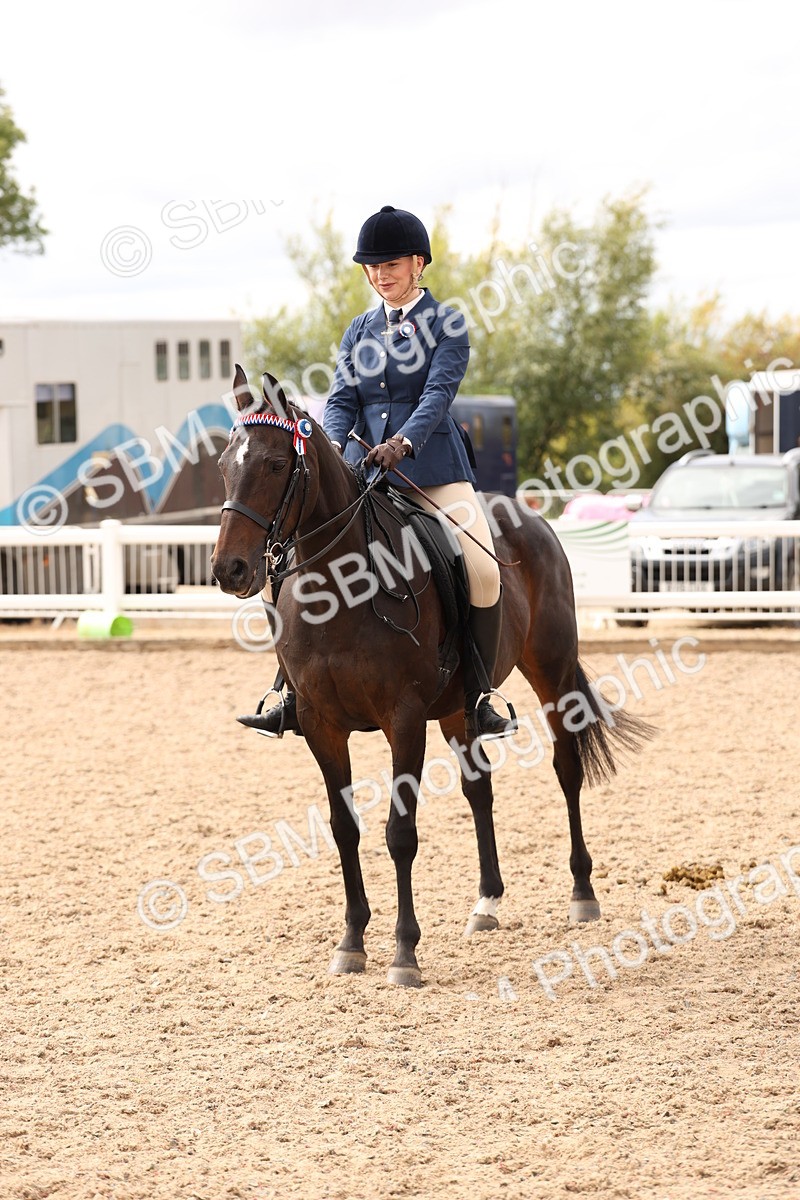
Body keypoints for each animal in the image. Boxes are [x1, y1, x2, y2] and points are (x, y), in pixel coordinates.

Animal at [211, 366, 653, 988]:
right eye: (224, 464)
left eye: (276, 465)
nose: (229, 570)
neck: (342, 586)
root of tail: (531, 515)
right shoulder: (322, 724)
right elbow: (344, 828)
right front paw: (351, 943)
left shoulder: (404, 719)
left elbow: (400, 834)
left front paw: (404, 953)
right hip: (457, 708)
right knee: (479, 786)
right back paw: (486, 903)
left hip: (552, 671)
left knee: (567, 768)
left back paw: (582, 893)